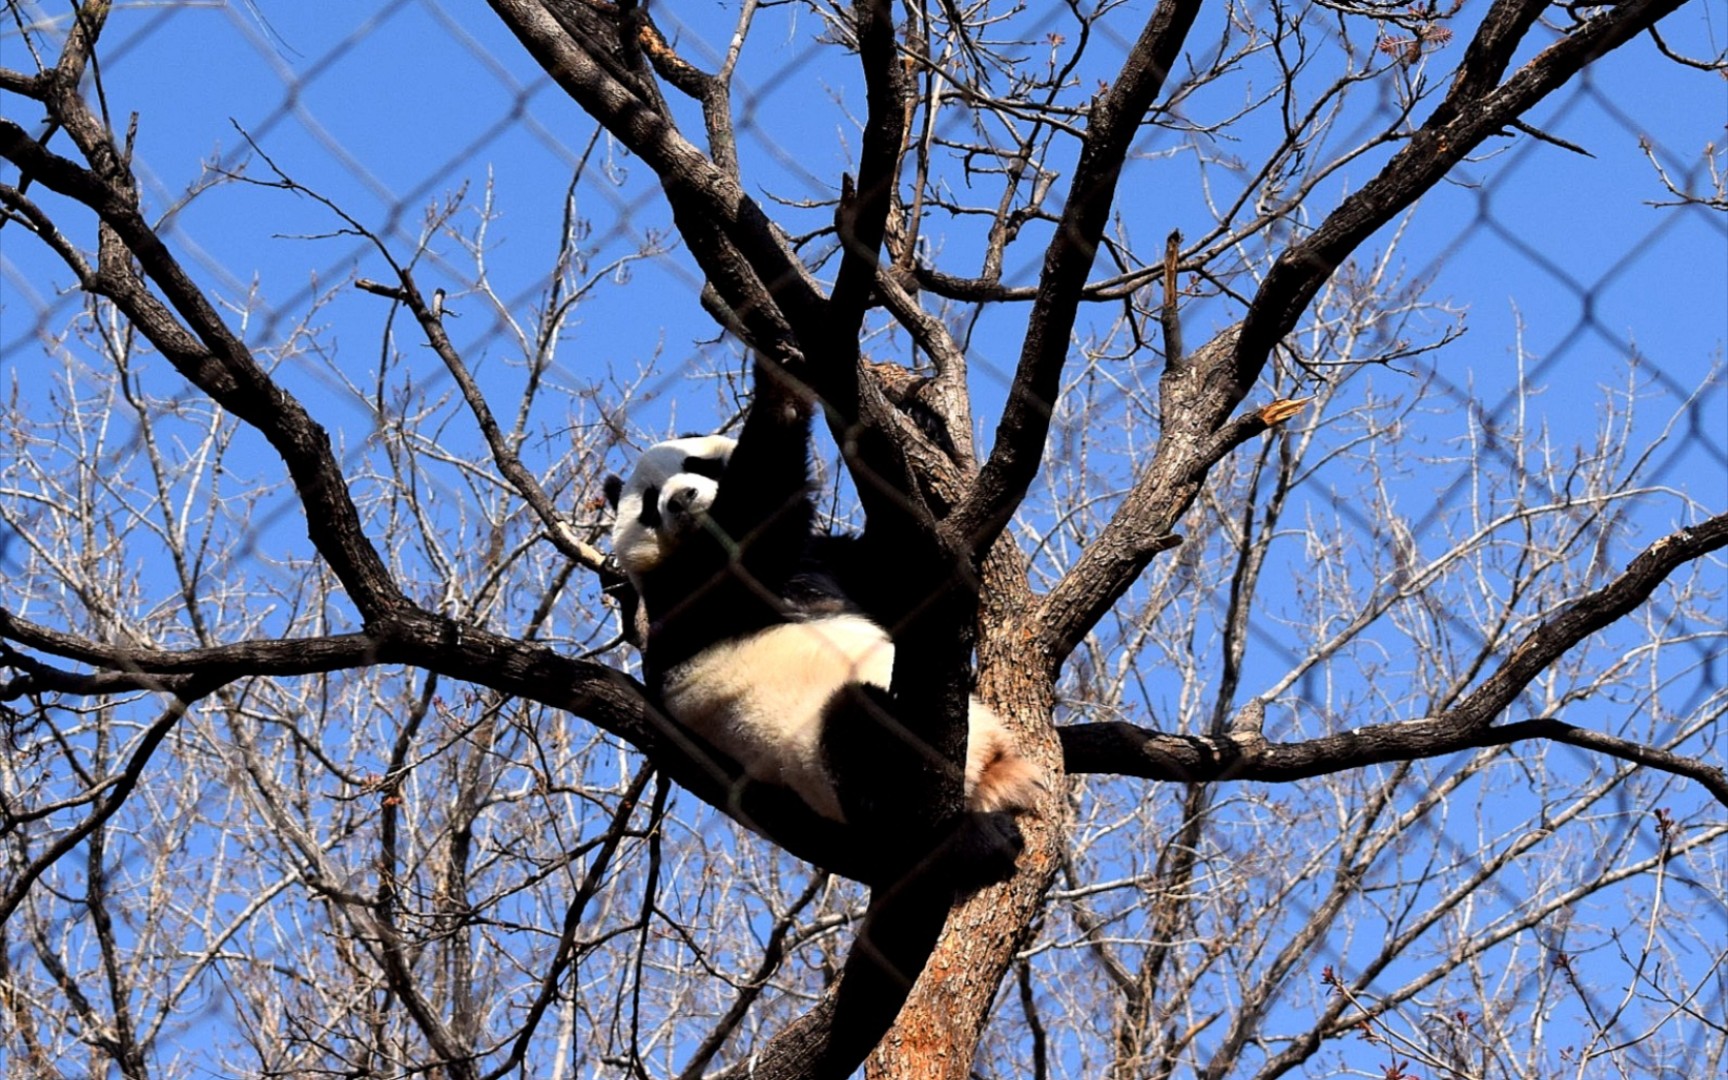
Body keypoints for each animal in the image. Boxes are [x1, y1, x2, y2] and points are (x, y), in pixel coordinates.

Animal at [608, 368, 1036, 877]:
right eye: (650, 504)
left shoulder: (832, 563)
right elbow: (756, 514)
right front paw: (778, 385)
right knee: (863, 738)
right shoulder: (687, 594)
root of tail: (985, 772)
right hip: (821, 761)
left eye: (698, 464)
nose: (682, 499)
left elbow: (906, 576)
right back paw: (969, 839)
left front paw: (921, 425)